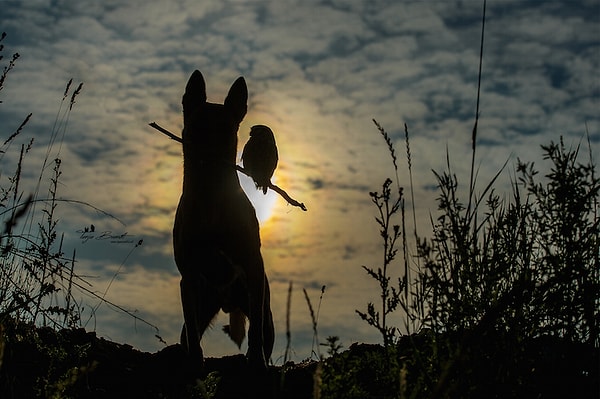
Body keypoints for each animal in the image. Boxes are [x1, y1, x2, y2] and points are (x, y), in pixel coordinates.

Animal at [173, 70, 274, 370]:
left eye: (227, 130)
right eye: (197, 125)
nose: (209, 152)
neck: (211, 196)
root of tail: (228, 302)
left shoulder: (253, 267)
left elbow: (256, 332)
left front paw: (256, 361)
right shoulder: (188, 275)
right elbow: (192, 333)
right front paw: (195, 363)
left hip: (261, 307)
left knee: (264, 332)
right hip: (203, 302)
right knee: (188, 332)